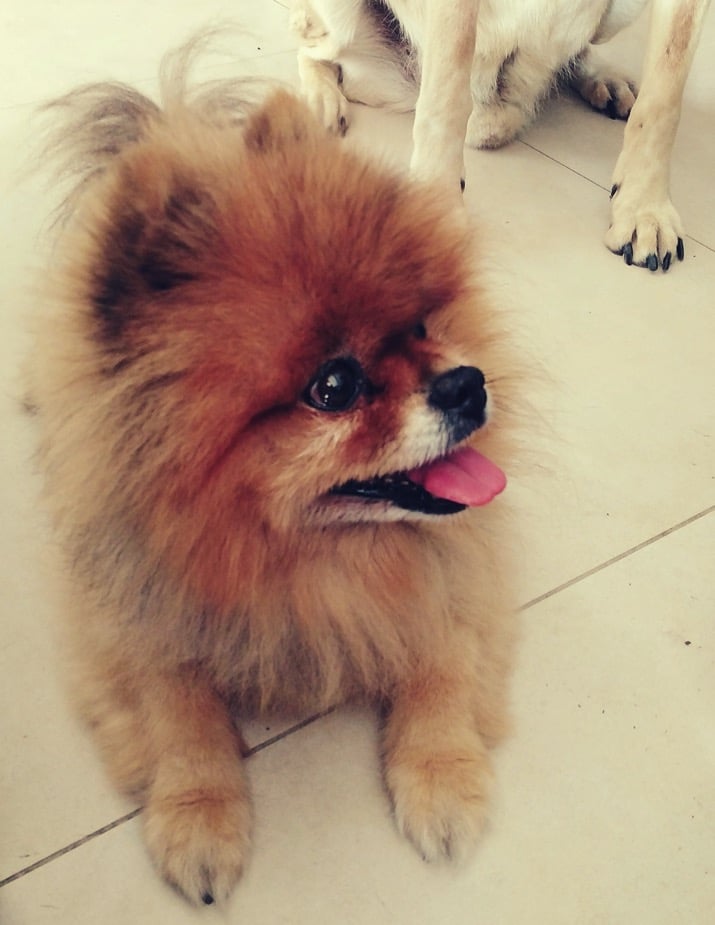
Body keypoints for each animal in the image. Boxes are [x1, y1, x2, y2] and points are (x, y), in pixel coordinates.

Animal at [30, 37, 519, 905]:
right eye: (333, 387)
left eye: (422, 325)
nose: (469, 383)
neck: (304, 563)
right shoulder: (129, 617)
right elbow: (178, 711)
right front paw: (200, 816)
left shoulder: (460, 578)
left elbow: (443, 659)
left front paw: (441, 779)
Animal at [291, 0, 710, 271]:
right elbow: (446, 94)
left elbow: (662, 99)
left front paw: (644, 208)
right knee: (313, 48)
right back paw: (317, 102)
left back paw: (600, 78)